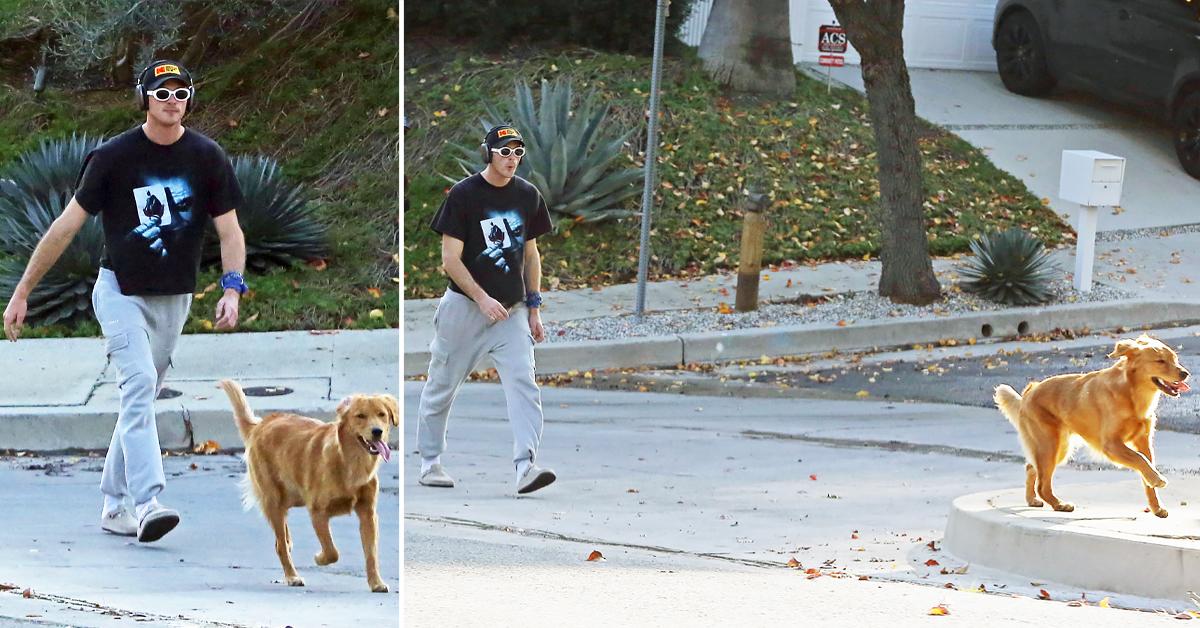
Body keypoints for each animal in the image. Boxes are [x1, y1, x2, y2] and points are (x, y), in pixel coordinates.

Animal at [219, 379, 398, 595]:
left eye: (381, 414)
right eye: (360, 416)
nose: (377, 431)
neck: (350, 463)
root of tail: (262, 424)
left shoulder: (368, 514)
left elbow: (371, 554)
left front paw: (376, 582)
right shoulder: (318, 512)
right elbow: (332, 551)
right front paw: (319, 558)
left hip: (289, 497)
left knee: (282, 536)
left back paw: (288, 543)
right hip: (274, 499)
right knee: (280, 544)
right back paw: (292, 576)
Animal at [993, 333, 1190, 516]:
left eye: (1175, 359)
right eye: (1160, 361)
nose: (1185, 373)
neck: (1131, 393)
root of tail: (1028, 393)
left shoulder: (1143, 442)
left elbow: (1146, 469)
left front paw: (1156, 507)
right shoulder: (1111, 445)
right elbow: (1139, 460)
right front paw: (1157, 479)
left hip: (1057, 447)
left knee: (1030, 468)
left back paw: (1032, 499)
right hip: (1051, 445)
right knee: (1042, 485)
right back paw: (1059, 505)